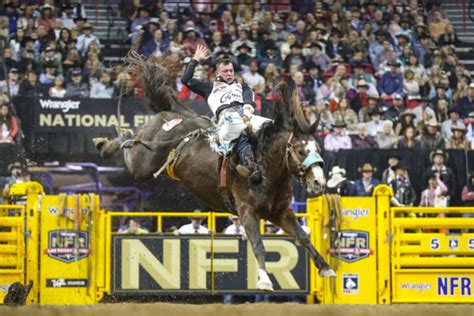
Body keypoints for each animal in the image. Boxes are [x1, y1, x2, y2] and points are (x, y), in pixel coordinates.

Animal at [92, 52, 336, 292]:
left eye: (318, 148)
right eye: (301, 150)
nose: (319, 182)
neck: (265, 167)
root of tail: (167, 113)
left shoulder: (280, 212)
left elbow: (303, 237)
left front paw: (326, 268)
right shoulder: (247, 211)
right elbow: (258, 244)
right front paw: (265, 281)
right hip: (143, 163)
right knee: (130, 143)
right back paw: (107, 143)